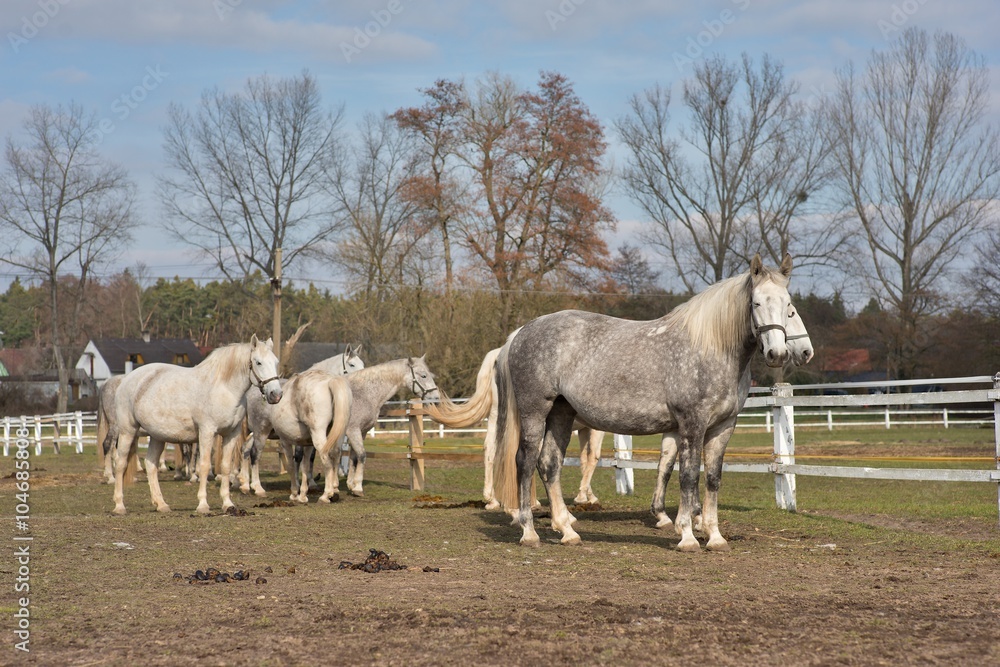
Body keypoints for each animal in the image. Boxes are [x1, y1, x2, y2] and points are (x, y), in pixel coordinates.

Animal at [110, 335, 282, 515]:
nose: (276, 395)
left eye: (275, 362)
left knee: (151, 465)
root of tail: (126, 379)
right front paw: (203, 505)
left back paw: (161, 504)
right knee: (120, 463)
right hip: (127, 431)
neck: (224, 389)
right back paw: (119, 506)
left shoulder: (231, 434)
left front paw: (228, 504)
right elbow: (204, 466)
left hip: (157, 436)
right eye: (258, 362)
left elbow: (225, 467)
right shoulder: (207, 432)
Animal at [238, 347, 365, 496]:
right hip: (260, 432)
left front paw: (312, 483)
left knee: (245, 450)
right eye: (352, 364)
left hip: (254, 433)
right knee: (254, 453)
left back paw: (245, 485)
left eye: (362, 363)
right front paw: (299, 485)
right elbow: (299, 457)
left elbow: (311, 457)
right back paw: (257, 487)